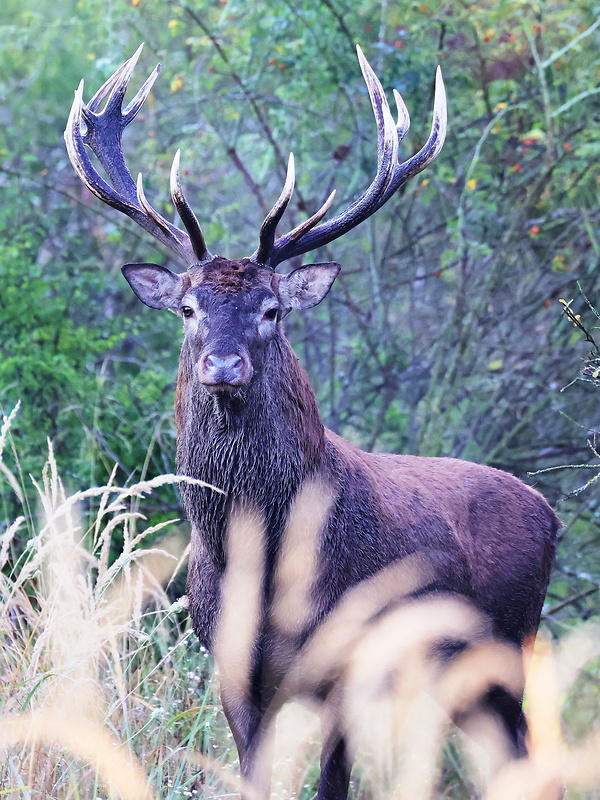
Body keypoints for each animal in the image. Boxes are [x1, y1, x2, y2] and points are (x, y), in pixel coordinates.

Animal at [65, 45, 556, 800]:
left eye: (272, 309)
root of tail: (549, 510)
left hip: (509, 643)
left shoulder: (347, 662)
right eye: (188, 307)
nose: (224, 363)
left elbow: (332, 783)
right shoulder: (233, 670)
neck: (263, 564)